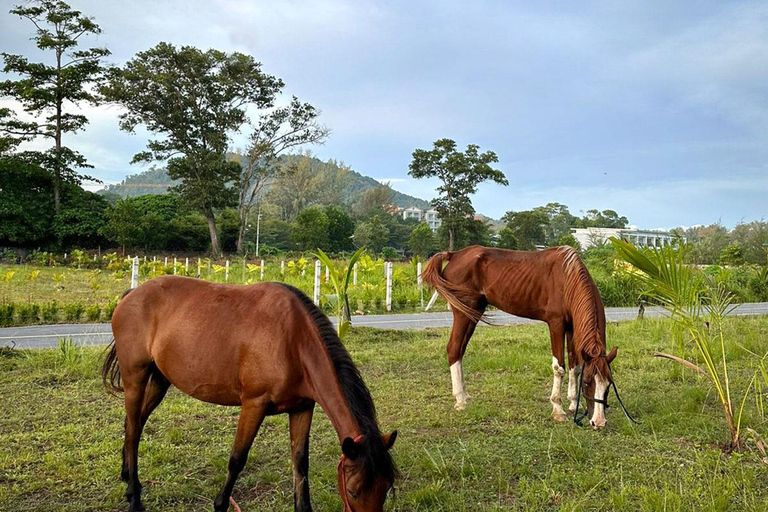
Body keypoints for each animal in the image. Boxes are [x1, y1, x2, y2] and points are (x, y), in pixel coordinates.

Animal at [101, 276, 396, 512]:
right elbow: (237, 459)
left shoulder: (302, 408)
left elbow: (300, 463)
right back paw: (134, 497)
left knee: (134, 423)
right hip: (135, 378)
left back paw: (128, 477)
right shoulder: (253, 405)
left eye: (386, 487)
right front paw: (220, 504)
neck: (294, 341)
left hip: (159, 381)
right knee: (134, 430)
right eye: (353, 491)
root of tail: (131, 295)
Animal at [420, 244, 616, 428]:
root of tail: (454, 254)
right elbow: (559, 367)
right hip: (463, 312)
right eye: (588, 383)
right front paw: (558, 409)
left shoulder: (571, 327)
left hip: (473, 313)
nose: (598, 422)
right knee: (454, 348)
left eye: (608, 384)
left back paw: (465, 395)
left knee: (460, 349)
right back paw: (460, 400)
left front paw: (574, 404)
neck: (567, 278)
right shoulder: (556, 325)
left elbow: (575, 367)